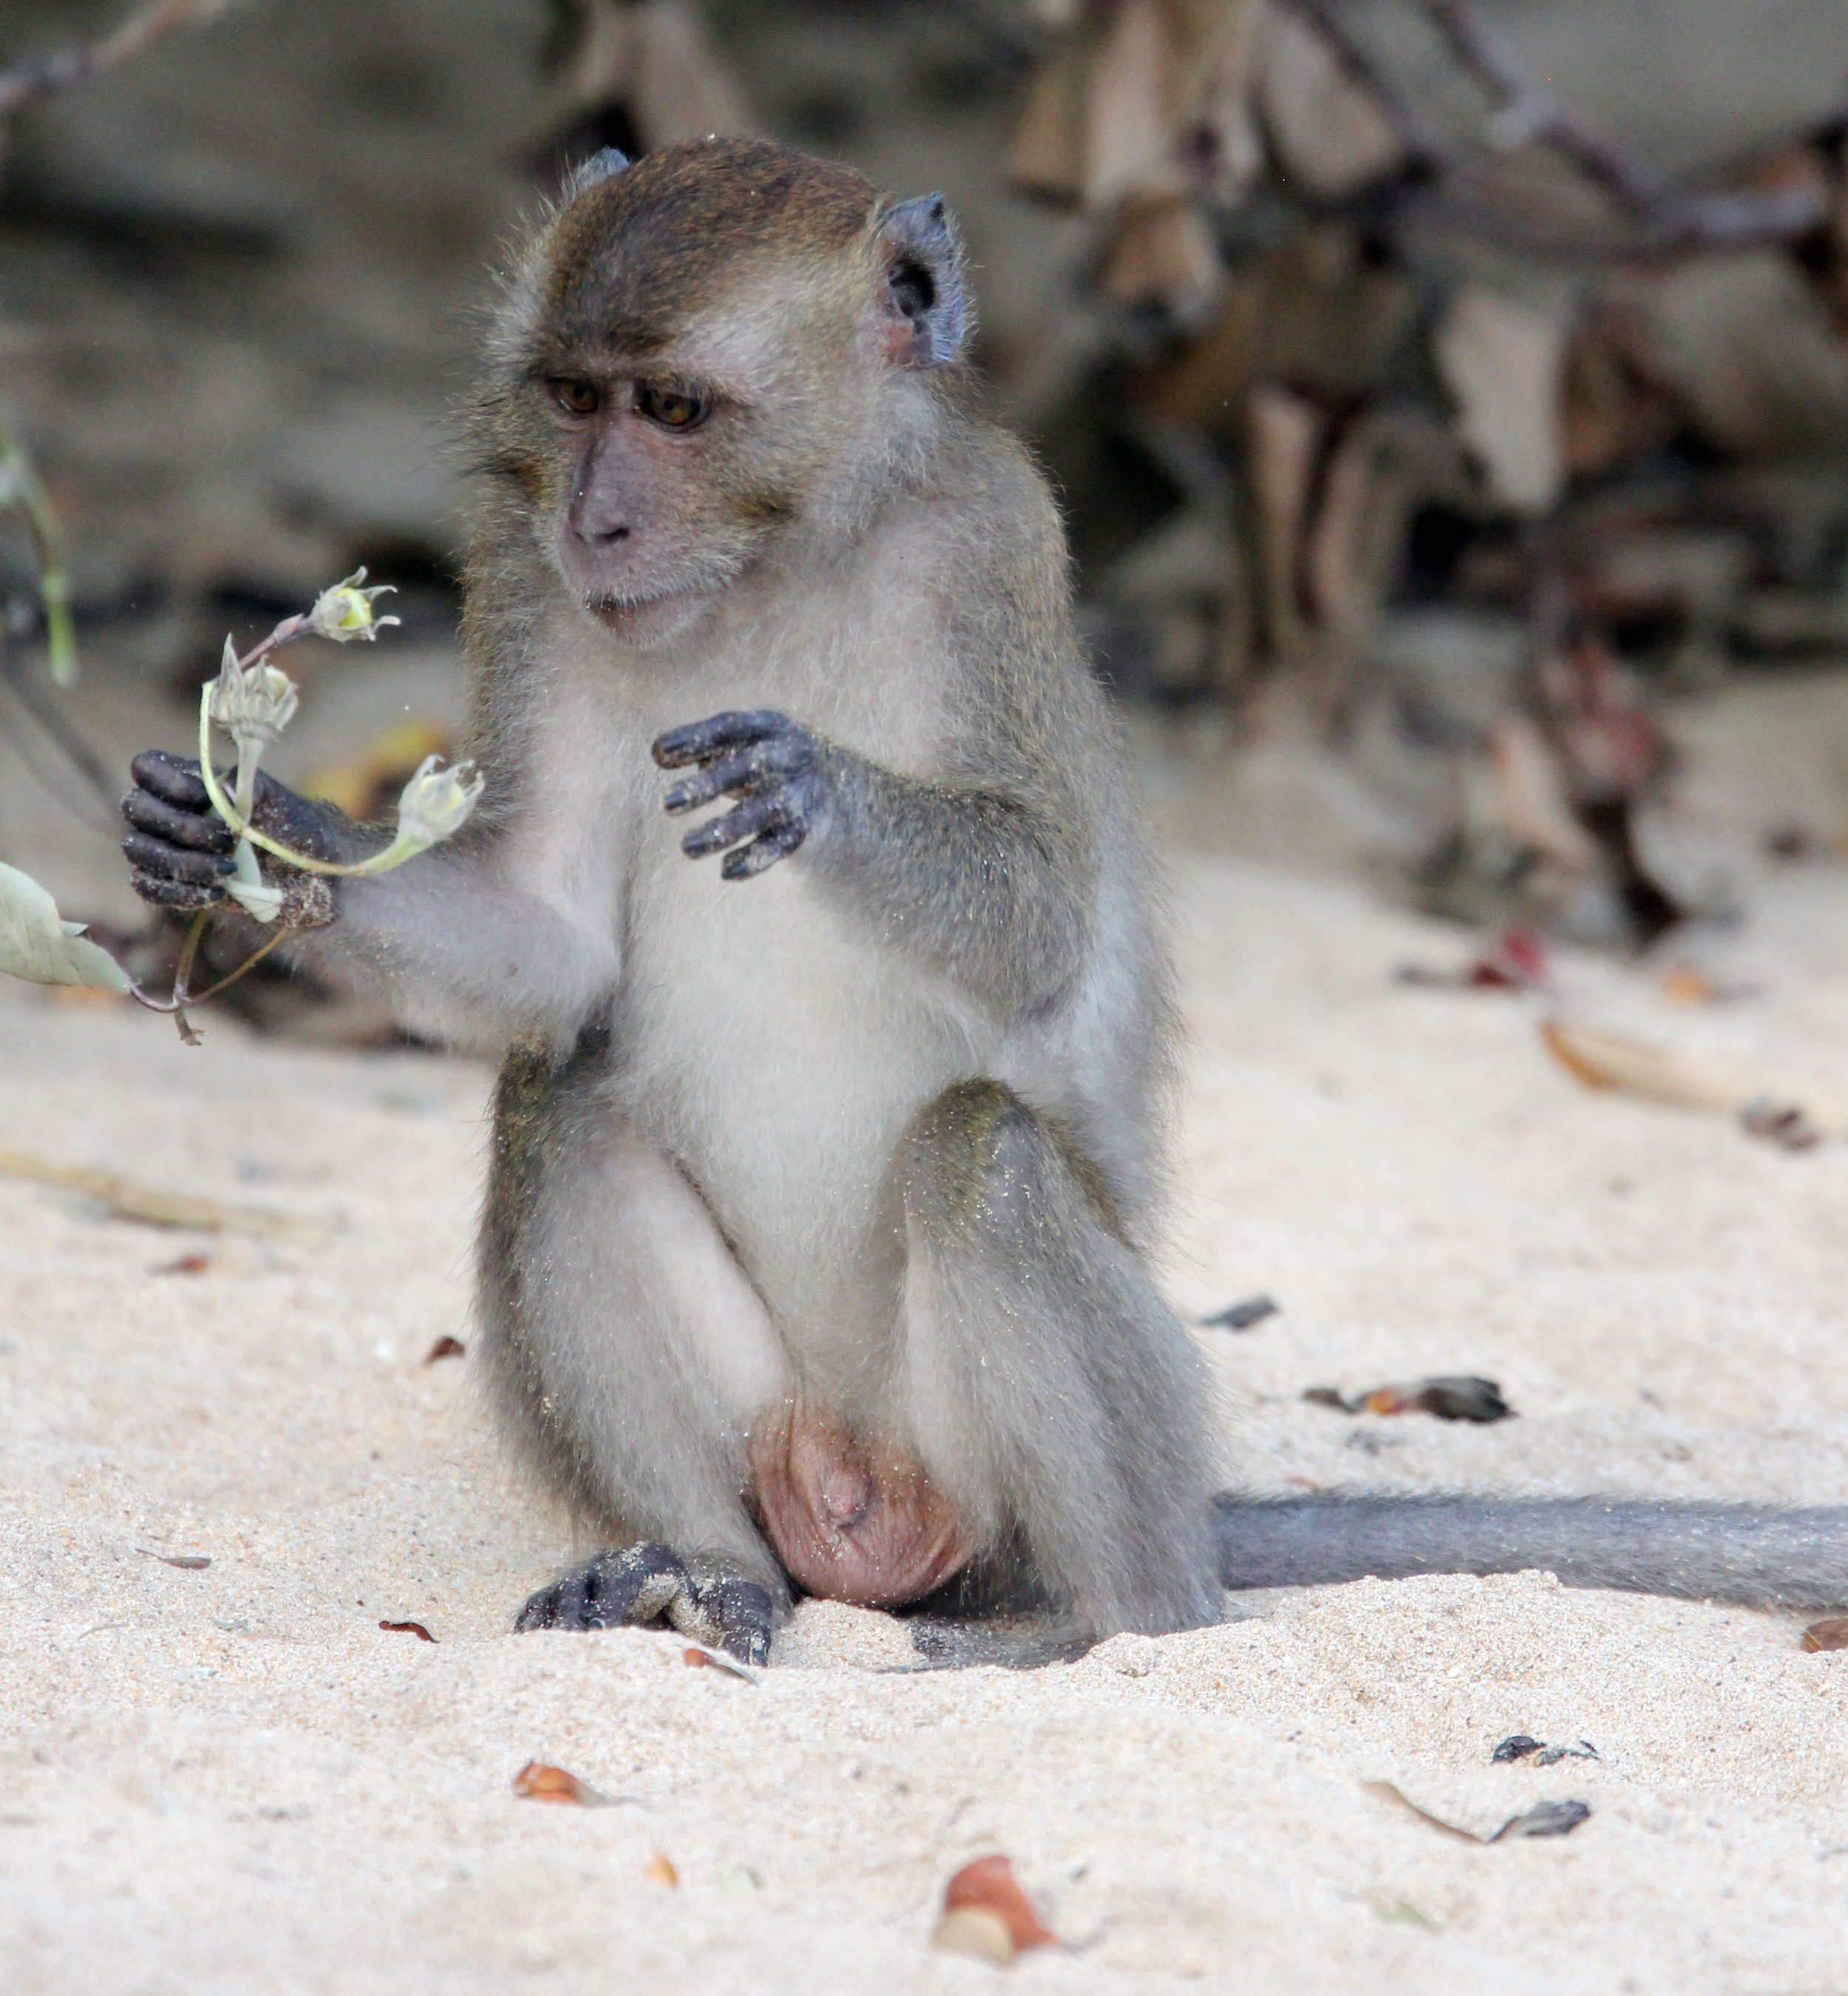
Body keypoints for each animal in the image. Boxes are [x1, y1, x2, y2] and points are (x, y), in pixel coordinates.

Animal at [120, 138, 1848, 1667]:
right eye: (573, 398)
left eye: (675, 410)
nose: (595, 520)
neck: (778, 568)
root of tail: (862, 1486)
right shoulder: (525, 580)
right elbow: (551, 948)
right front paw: (250, 838)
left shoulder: (995, 547)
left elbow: (1041, 929)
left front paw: (815, 790)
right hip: (789, 1429)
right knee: (563, 1108)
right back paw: (703, 1569)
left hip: (997, 1461)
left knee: (983, 1159)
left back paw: (1109, 1621)